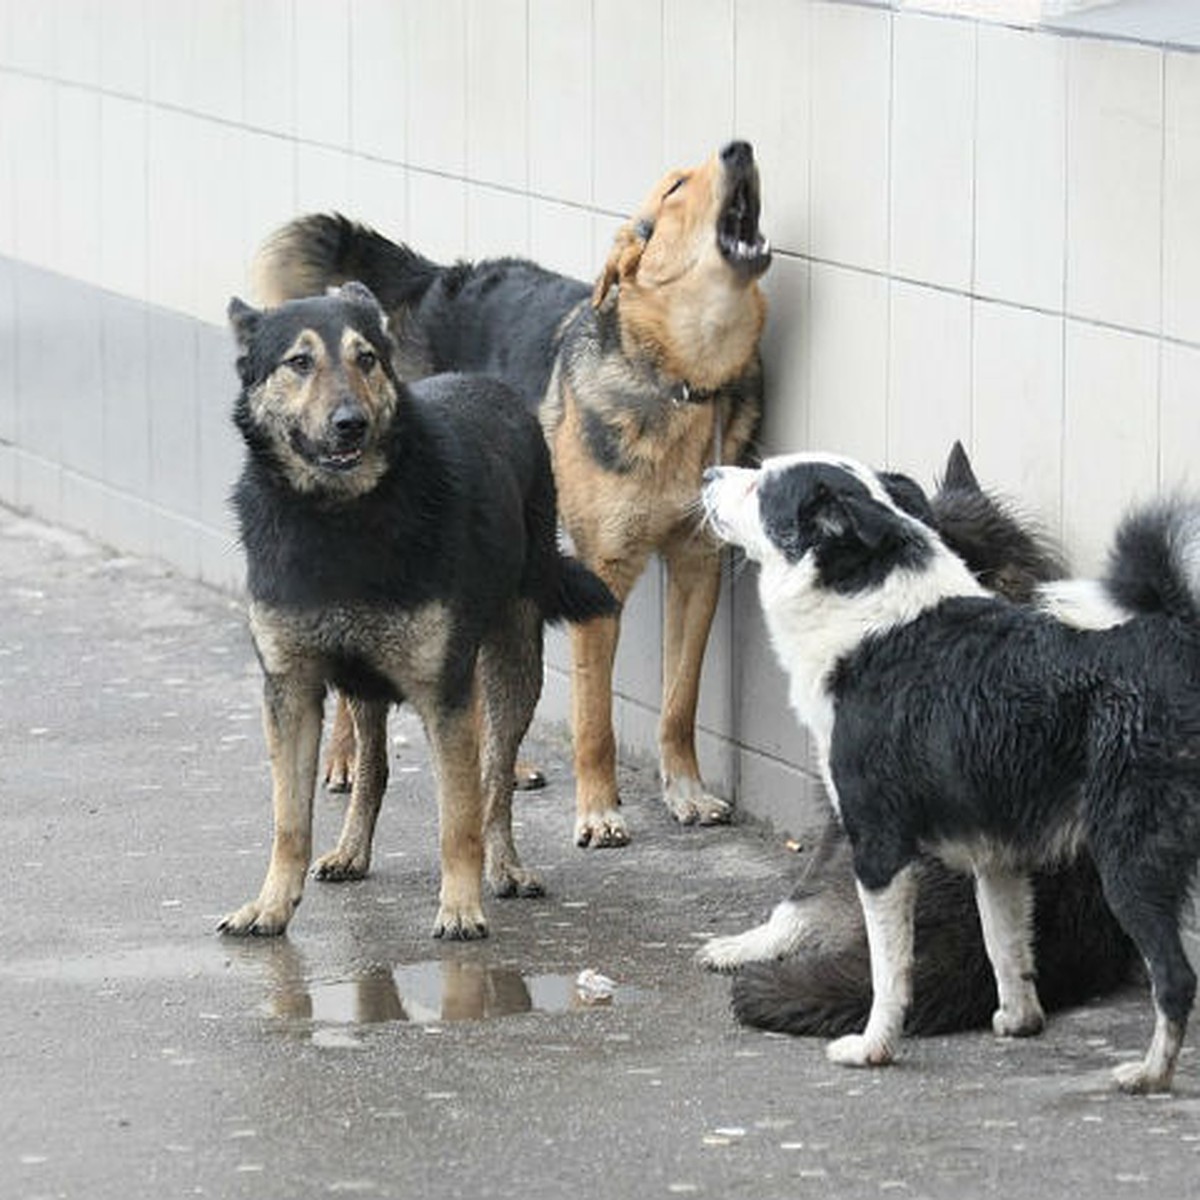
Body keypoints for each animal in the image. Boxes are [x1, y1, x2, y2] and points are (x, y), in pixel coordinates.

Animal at [216, 280, 614, 936]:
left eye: (366, 359)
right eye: (299, 362)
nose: (350, 425)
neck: (340, 517)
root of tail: (490, 384)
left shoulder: (444, 694)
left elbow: (459, 817)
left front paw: (460, 905)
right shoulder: (291, 692)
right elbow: (289, 820)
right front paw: (271, 905)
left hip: (510, 665)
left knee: (494, 778)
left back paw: (504, 867)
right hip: (364, 684)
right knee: (373, 767)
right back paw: (351, 851)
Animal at [256, 140, 772, 849]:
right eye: (674, 187)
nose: (739, 147)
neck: (681, 381)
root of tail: (434, 278)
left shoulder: (699, 568)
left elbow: (679, 701)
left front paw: (685, 792)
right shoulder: (603, 573)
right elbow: (594, 716)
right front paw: (599, 810)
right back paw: (343, 756)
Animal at [700, 451, 1200, 1099]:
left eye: (761, 486)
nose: (707, 475)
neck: (868, 610)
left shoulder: (877, 847)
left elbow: (889, 970)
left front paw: (874, 1047)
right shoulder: (997, 856)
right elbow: (1006, 947)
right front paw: (1018, 1021)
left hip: (1129, 860)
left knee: (1176, 978)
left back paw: (1151, 1073)